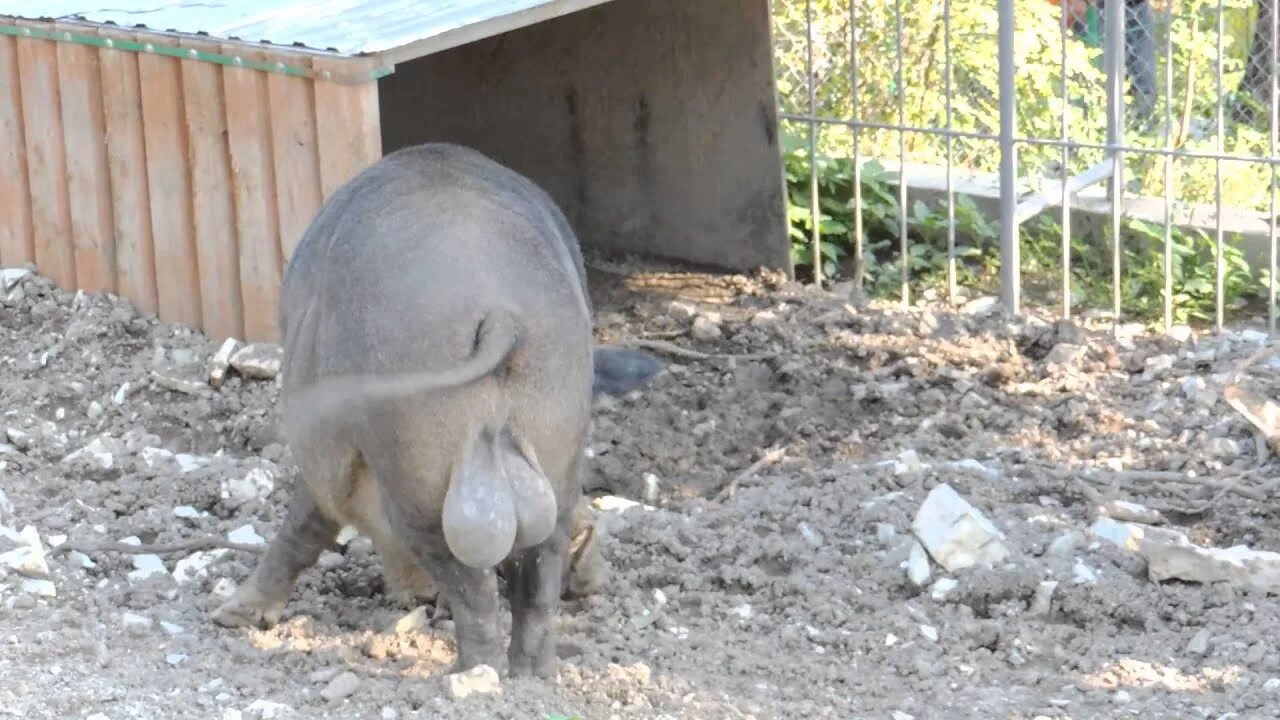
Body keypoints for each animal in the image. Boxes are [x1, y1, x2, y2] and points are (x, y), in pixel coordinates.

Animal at [209, 142, 660, 676]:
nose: (595, 582)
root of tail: (501, 312)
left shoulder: (327, 460)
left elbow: (302, 527)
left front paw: (228, 617)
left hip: (416, 467)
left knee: (473, 590)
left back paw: (471, 673)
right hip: (556, 432)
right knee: (538, 573)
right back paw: (531, 675)